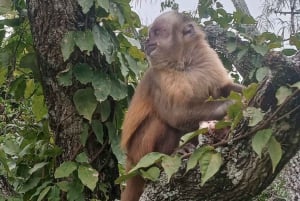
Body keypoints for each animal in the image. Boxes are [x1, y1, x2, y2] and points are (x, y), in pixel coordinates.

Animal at [119, 10, 244, 201]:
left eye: (157, 33)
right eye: (151, 34)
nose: (147, 41)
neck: (184, 62)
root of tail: (129, 163)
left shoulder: (208, 58)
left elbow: (224, 88)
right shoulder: (158, 77)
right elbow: (176, 114)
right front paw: (232, 104)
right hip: (138, 153)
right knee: (161, 122)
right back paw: (166, 158)